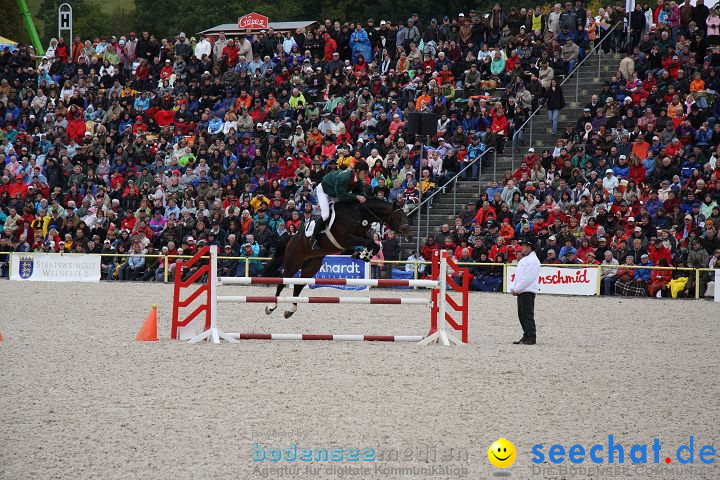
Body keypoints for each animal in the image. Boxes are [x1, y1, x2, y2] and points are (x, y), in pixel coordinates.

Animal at [262, 199, 410, 318]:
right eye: (398, 217)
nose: (409, 235)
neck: (359, 214)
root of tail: (292, 237)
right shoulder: (346, 239)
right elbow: (371, 243)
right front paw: (363, 255)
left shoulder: (361, 237)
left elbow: (374, 244)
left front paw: (362, 255)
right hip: (294, 261)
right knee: (283, 280)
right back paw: (271, 307)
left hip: (311, 265)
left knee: (299, 284)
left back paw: (290, 310)